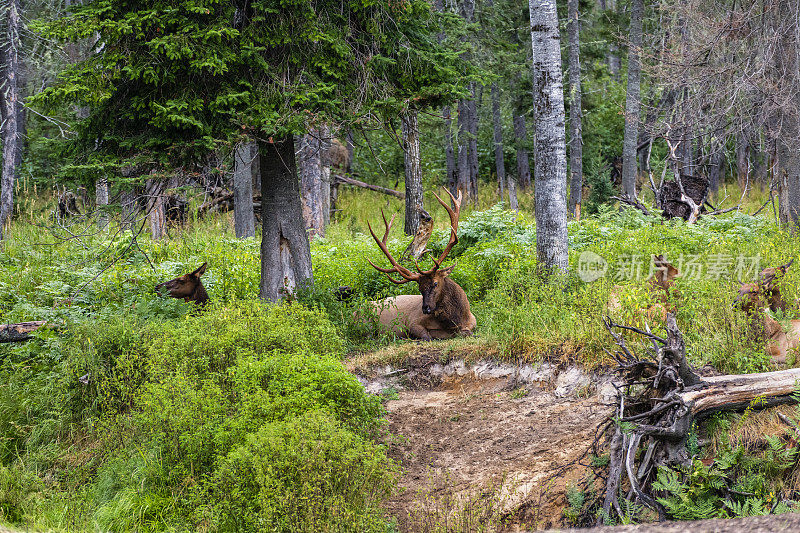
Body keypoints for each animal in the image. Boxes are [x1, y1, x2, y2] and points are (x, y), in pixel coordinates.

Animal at [368, 189, 476, 338]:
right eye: (419, 288)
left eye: (435, 283)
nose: (426, 308)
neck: (457, 320)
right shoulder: (412, 323)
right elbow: (427, 337)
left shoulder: (473, 321)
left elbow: (468, 331)